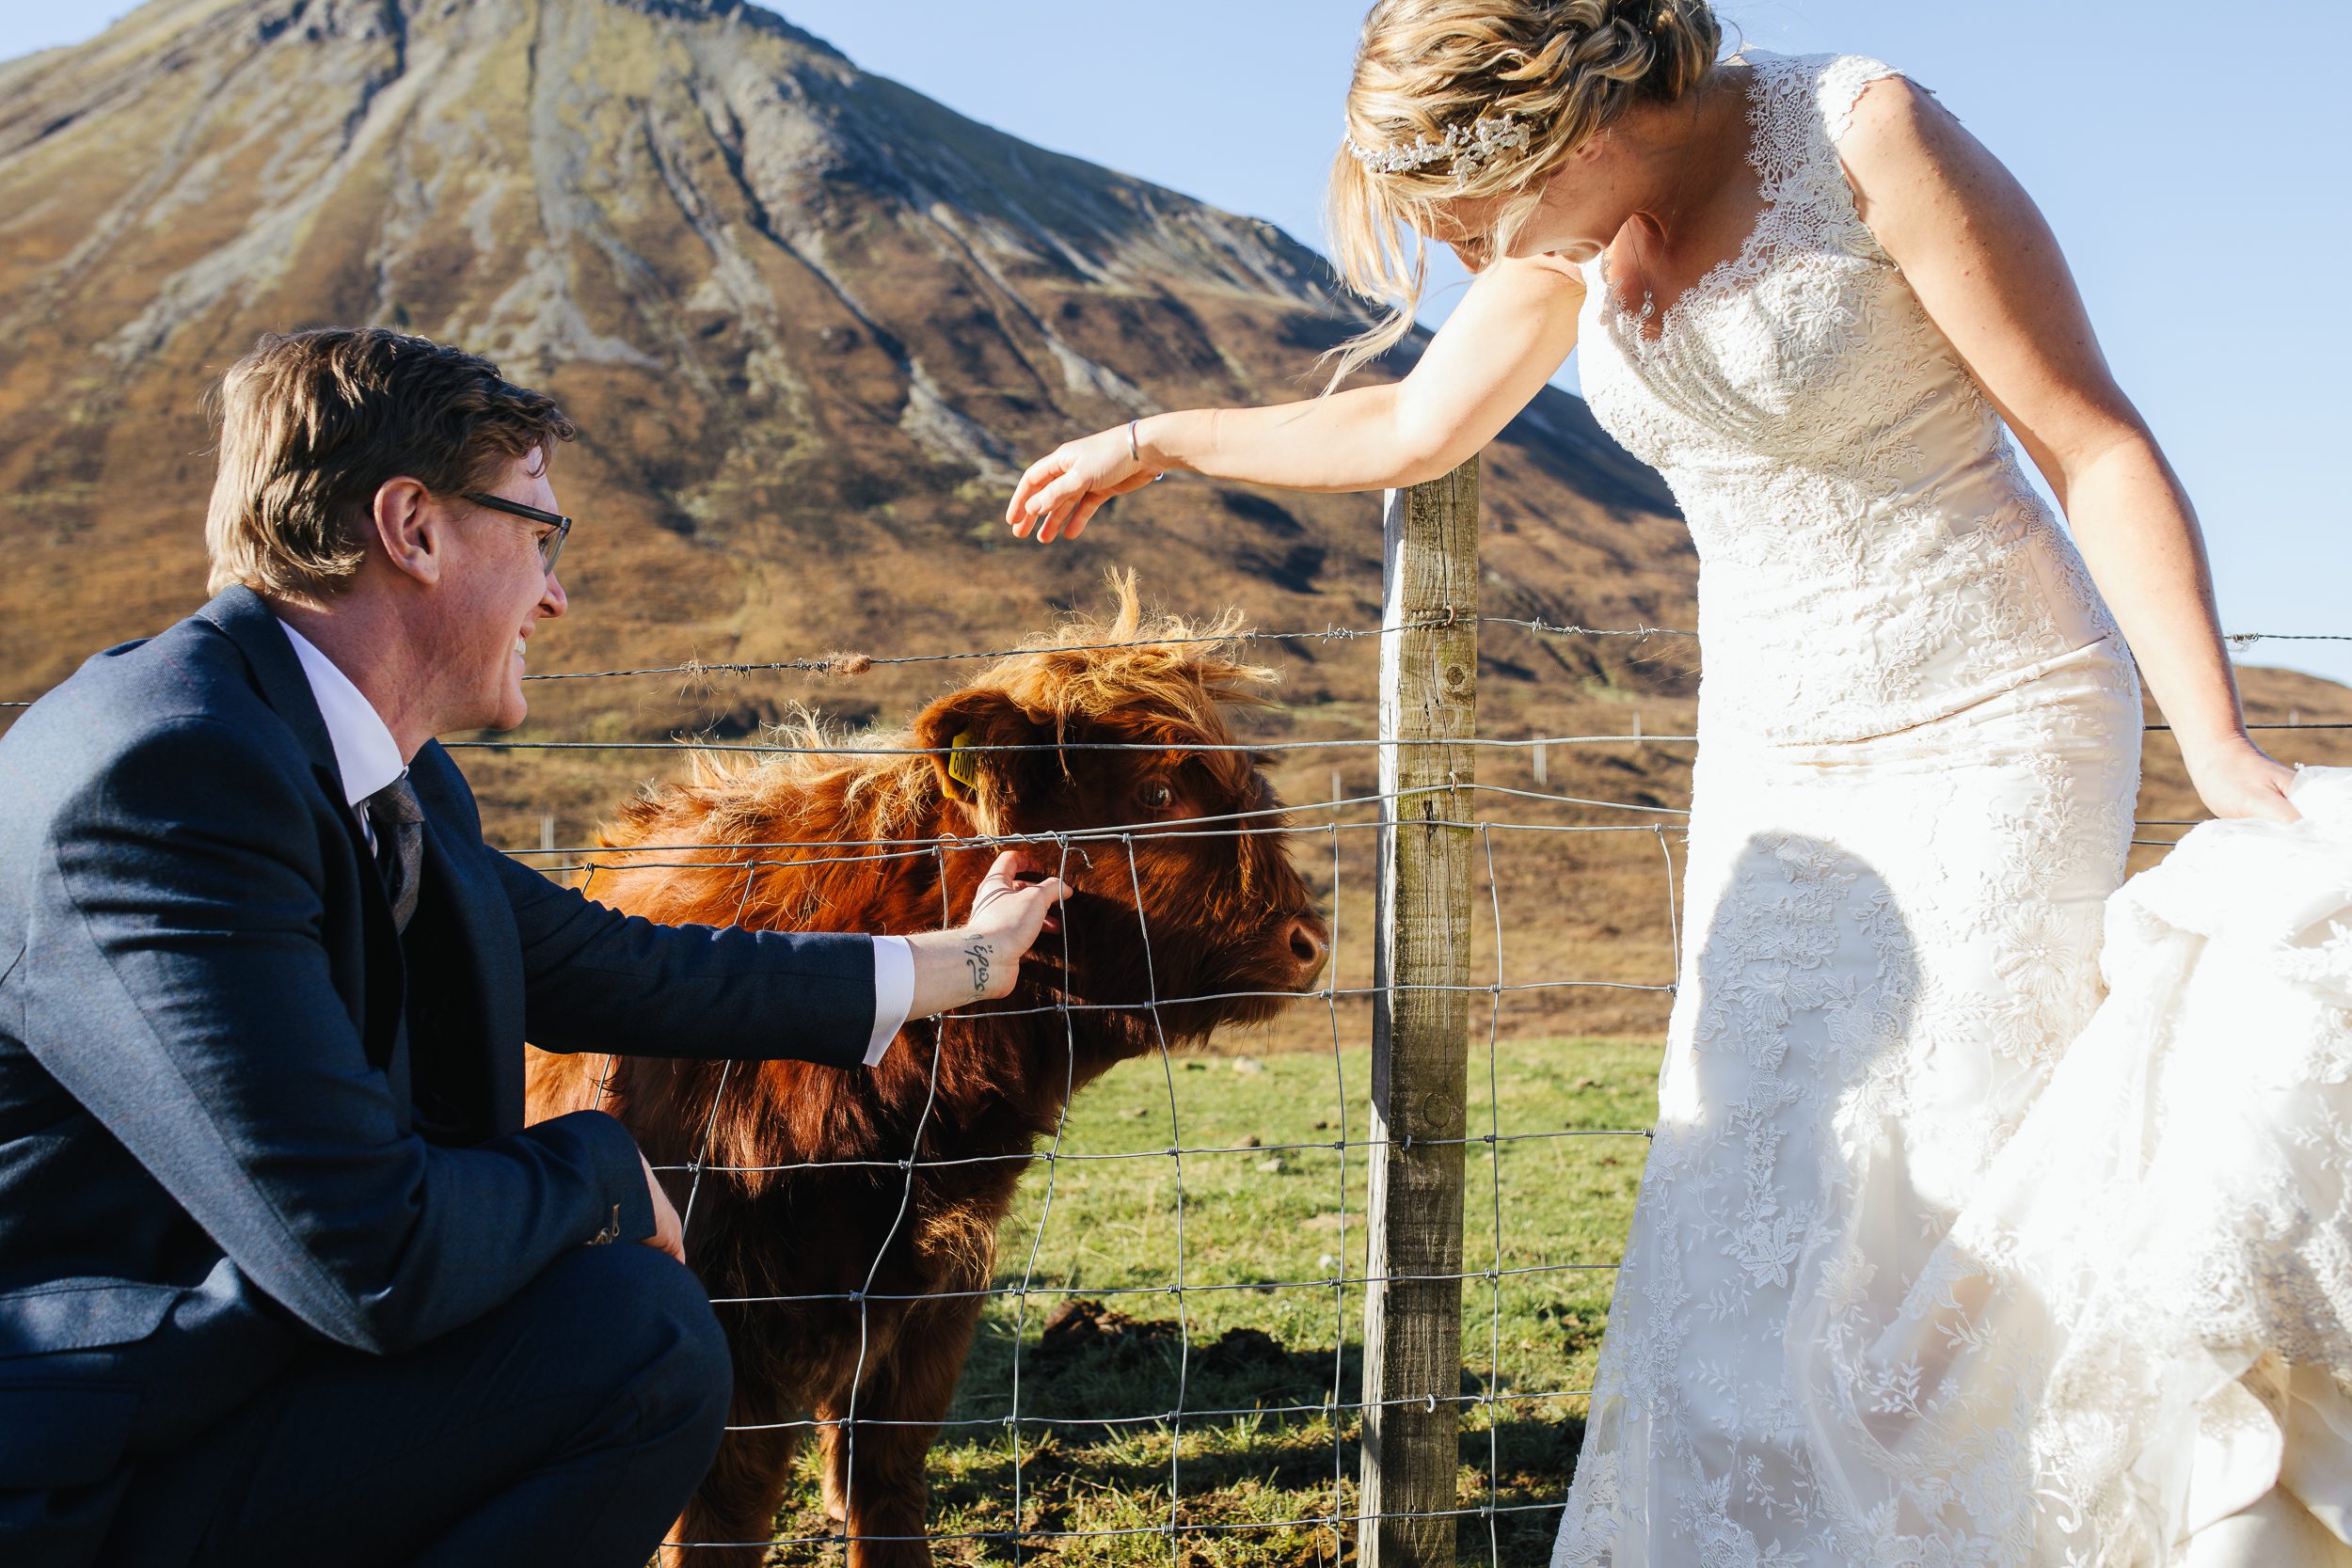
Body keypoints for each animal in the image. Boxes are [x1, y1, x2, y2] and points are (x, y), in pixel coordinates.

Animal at [529, 585, 1327, 1568]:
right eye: (1157, 790)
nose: (1310, 941)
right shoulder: (729, 1312)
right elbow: (725, 1514)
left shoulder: (934, 1294)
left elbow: (886, 1476)